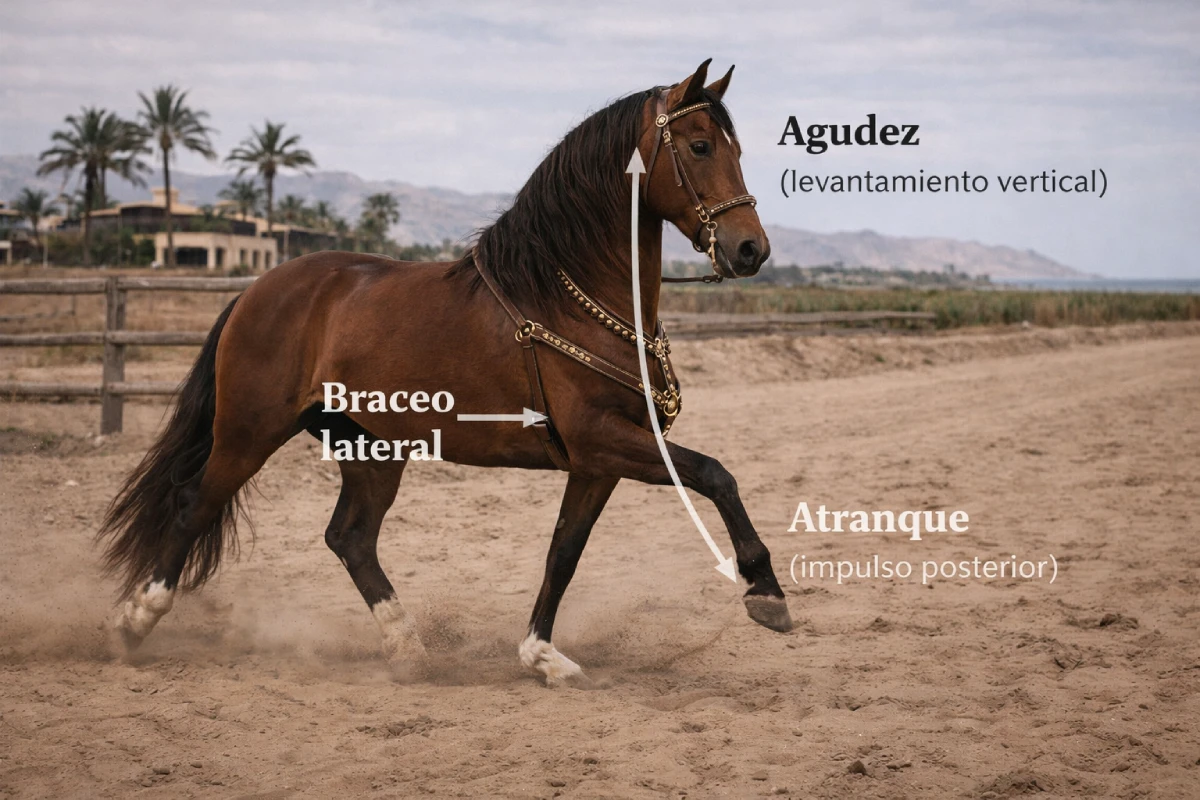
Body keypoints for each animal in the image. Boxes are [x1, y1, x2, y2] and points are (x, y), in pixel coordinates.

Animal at [99, 59, 793, 687]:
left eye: (735, 147)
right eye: (701, 145)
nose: (751, 249)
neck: (570, 297)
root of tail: (257, 289)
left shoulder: (598, 460)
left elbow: (563, 552)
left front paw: (542, 655)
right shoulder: (603, 439)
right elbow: (716, 474)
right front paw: (764, 589)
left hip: (371, 446)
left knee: (350, 538)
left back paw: (408, 651)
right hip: (249, 432)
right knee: (194, 505)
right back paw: (134, 622)